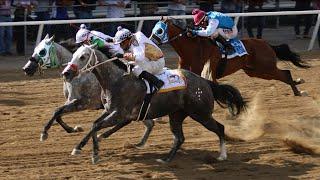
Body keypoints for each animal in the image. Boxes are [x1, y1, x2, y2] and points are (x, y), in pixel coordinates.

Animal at [61, 44, 246, 164]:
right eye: (74, 54)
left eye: (83, 56)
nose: (66, 73)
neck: (116, 80)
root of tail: (204, 82)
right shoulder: (109, 110)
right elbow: (94, 125)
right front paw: (79, 148)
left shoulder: (119, 114)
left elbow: (97, 126)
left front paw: (94, 154)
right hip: (176, 115)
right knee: (179, 138)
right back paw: (166, 159)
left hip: (201, 114)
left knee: (220, 128)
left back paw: (222, 155)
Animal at [151, 18, 310, 96]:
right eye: (153, 28)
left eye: (159, 30)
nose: (150, 41)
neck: (191, 47)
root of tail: (267, 44)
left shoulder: (200, 69)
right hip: (256, 71)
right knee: (284, 75)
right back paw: (298, 86)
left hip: (266, 67)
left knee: (286, 73)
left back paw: (298, 91)